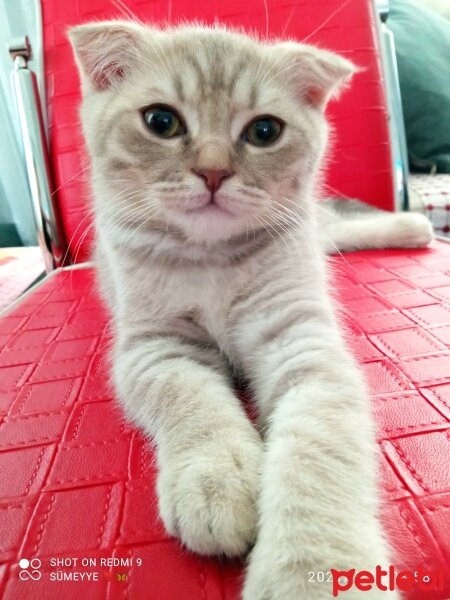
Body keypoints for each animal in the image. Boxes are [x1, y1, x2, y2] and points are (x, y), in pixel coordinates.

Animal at [67, 21, 432, 596]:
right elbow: (192, 399)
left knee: (333, 226)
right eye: (161, 122)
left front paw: (311, 569)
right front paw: (215, 478)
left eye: (264, 131)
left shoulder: (302, 343)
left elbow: (317, 448)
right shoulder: (155, 348)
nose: (213, 172)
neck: (211, 258)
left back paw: (413, 227)